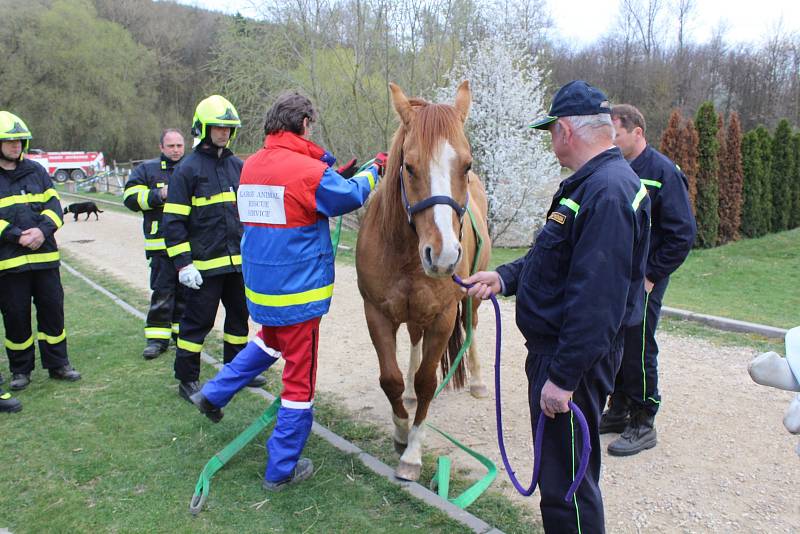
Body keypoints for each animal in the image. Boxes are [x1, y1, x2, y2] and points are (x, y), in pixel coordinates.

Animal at [358, 81, 494, 484]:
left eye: (467, 165)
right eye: (408, 165)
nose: (444, 254)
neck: (406, 253)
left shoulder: (443, 317)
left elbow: (427, 382)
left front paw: (413, 453)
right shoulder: (376, 313)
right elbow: (390, 379)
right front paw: (401, 432)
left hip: (472, 299)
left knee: (472, 328)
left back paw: (478, 382)